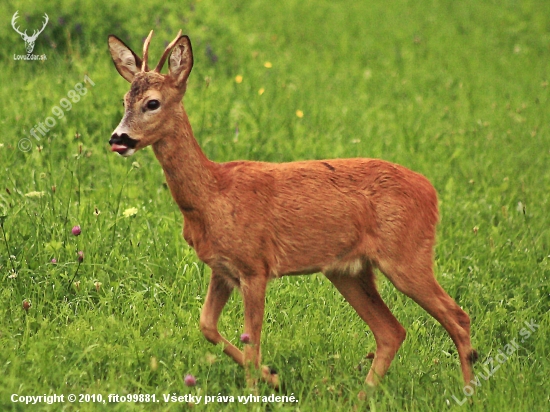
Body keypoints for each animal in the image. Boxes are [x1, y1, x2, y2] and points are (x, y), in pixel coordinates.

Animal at [109, 30, 478, 388]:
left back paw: (468, 392)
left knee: (457, 316)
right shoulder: (223, 268)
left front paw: (258, 386)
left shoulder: (255, 266)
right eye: (124, 101)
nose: (118, 138)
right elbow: (206, 325)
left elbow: (252, 344)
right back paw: (362, 396)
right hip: (348, 271)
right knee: (392, 331)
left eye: (152, 103)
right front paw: (273, 377)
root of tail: (431, 192)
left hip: (407, 256)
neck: (212, 196)